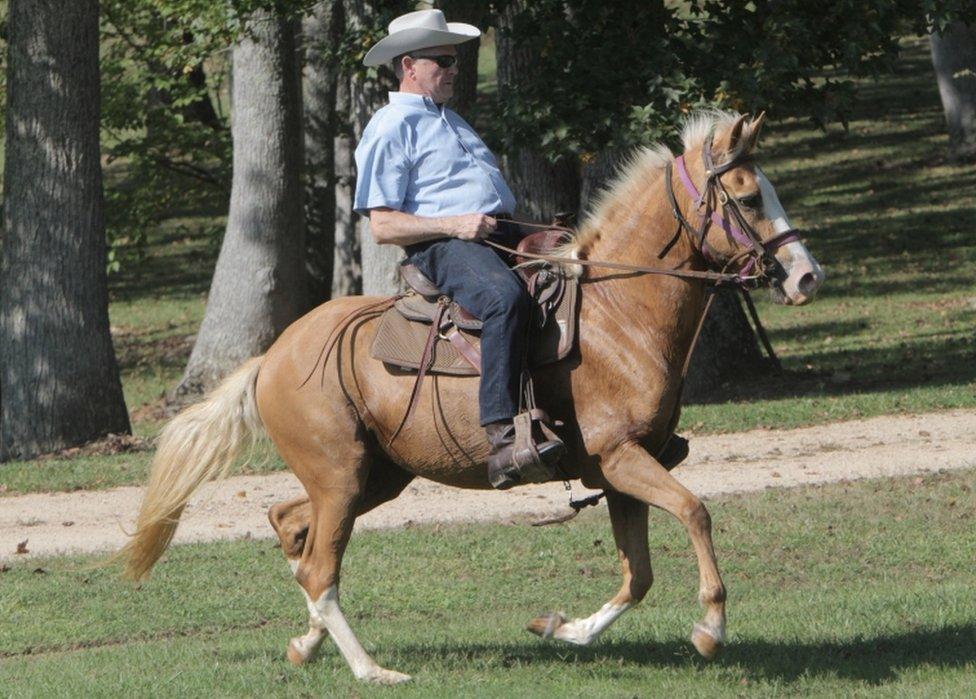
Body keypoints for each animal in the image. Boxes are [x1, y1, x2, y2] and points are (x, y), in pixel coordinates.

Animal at [120, 113, 824, 684]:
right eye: (748, 196)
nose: (806, 276)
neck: (617, 316)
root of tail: (272, 356)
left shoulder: (623, 467)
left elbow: (638, 575)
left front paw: (561, 628)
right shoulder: (622, 457)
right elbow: (696, 512)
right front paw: (710, 630)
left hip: (372, 476)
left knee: (293, 528)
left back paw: (306, 645)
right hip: (341, 476)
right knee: (319, 567)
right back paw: (373, 671)